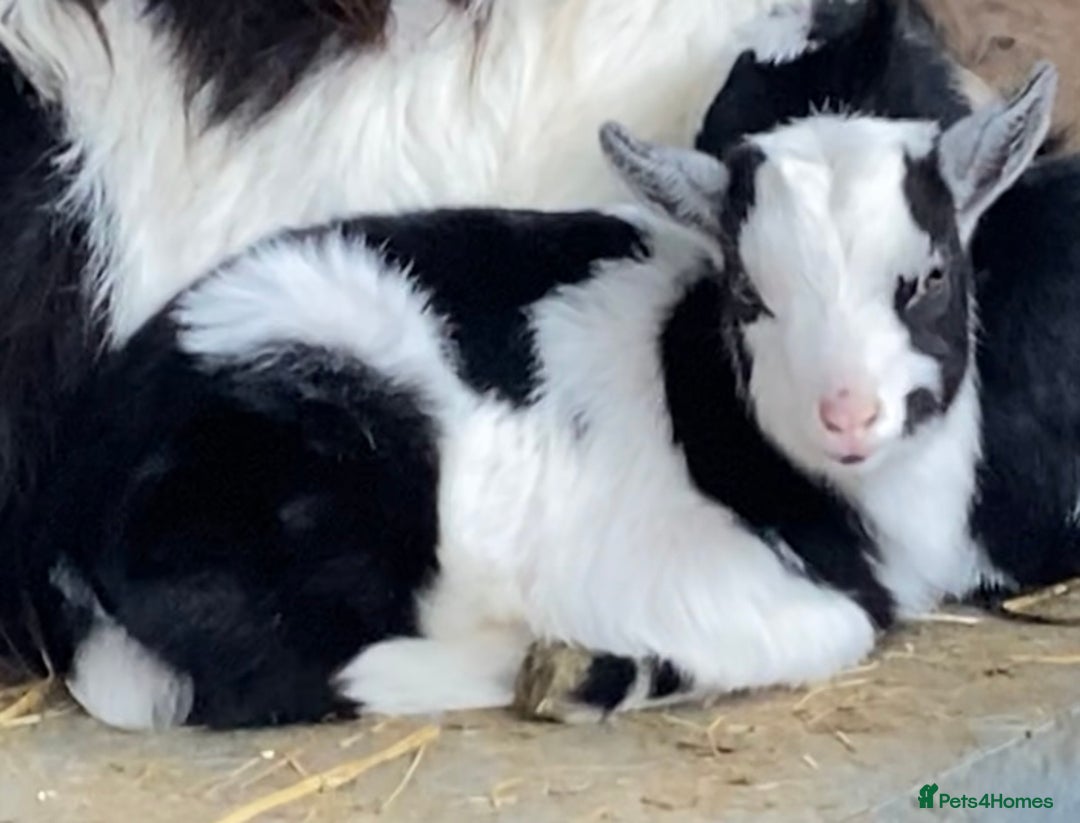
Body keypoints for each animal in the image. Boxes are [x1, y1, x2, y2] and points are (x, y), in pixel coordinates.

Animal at [19, 64, 1055, 728]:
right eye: (751, 295)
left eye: (927, 277)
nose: (847, 414)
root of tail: (71, 502)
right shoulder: (676, 565)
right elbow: (832, 627)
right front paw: (600, 667)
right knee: (270, 670)